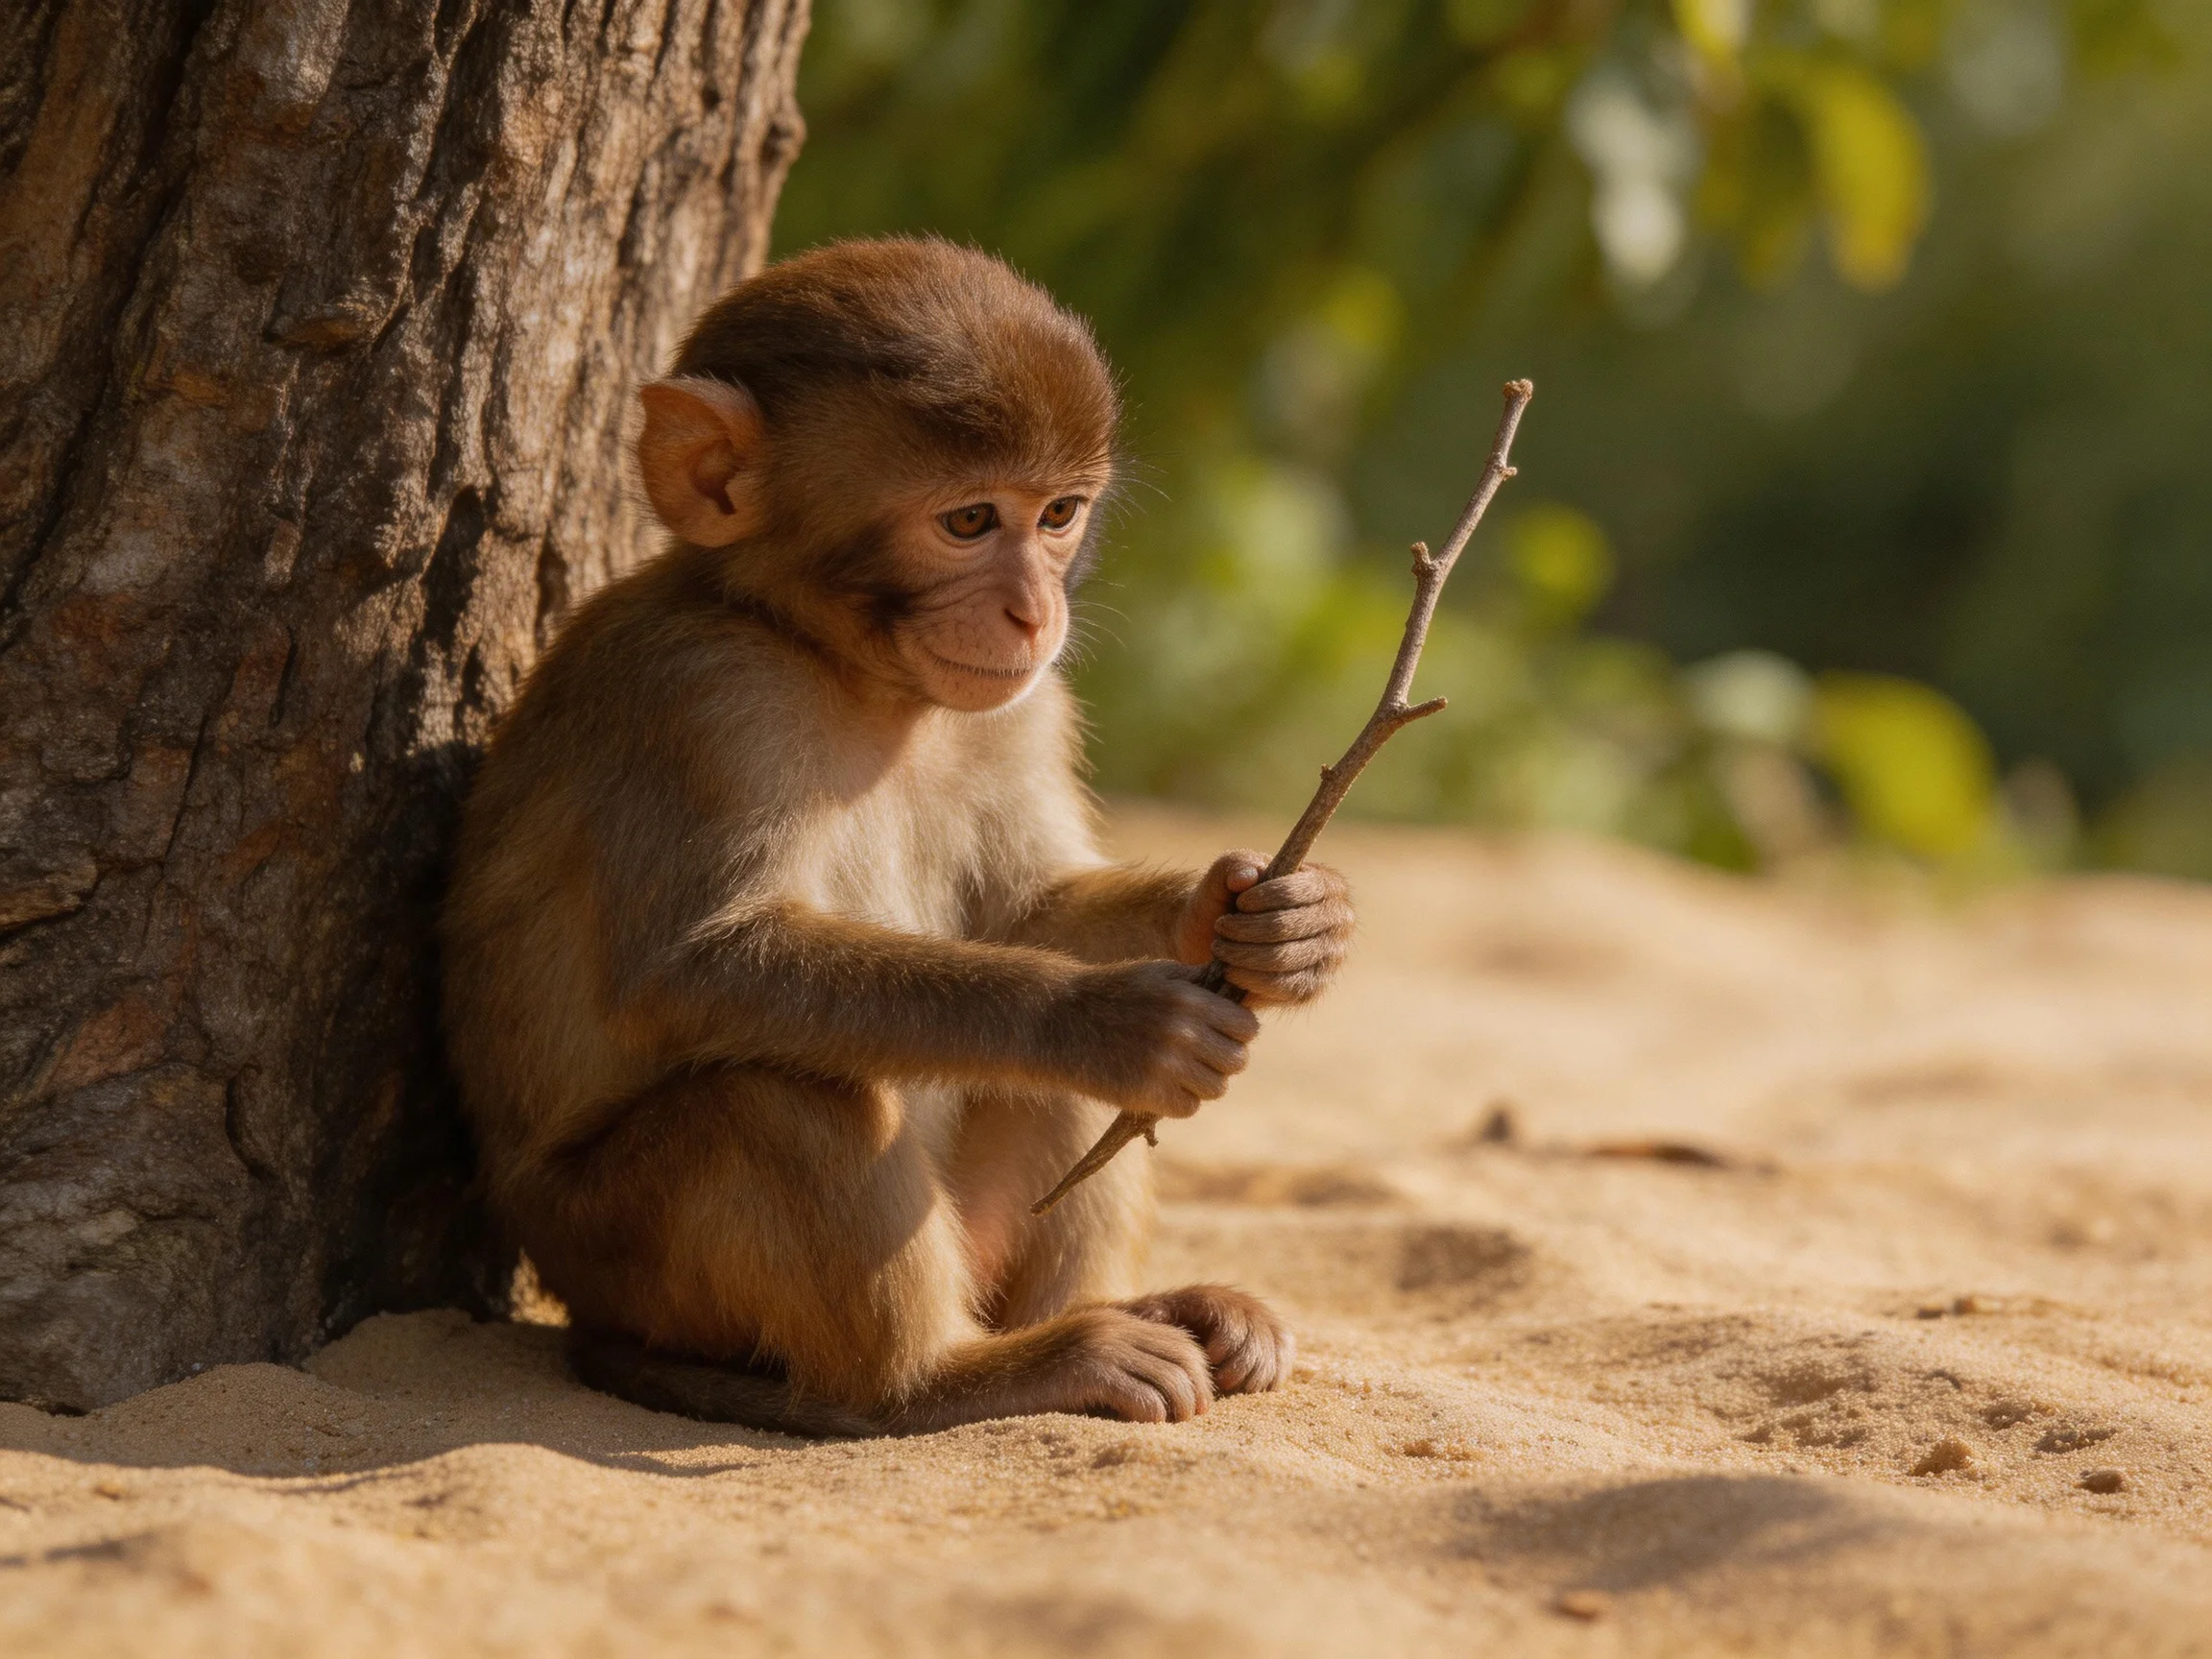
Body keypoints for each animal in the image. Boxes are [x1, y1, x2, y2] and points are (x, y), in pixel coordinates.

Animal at [440, 238, 1355, 1436]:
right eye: (969, 523)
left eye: (1057, 515)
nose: (1035, 612)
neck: (848, 672)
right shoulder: (695, 696)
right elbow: (685, 970)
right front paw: (1094, 1018)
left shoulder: (1024, 704)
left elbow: (1029, 906)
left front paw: (1265, 919)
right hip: (610, 1255)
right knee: (773, 1098)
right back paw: (955, 1377)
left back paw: (1128, 1314)